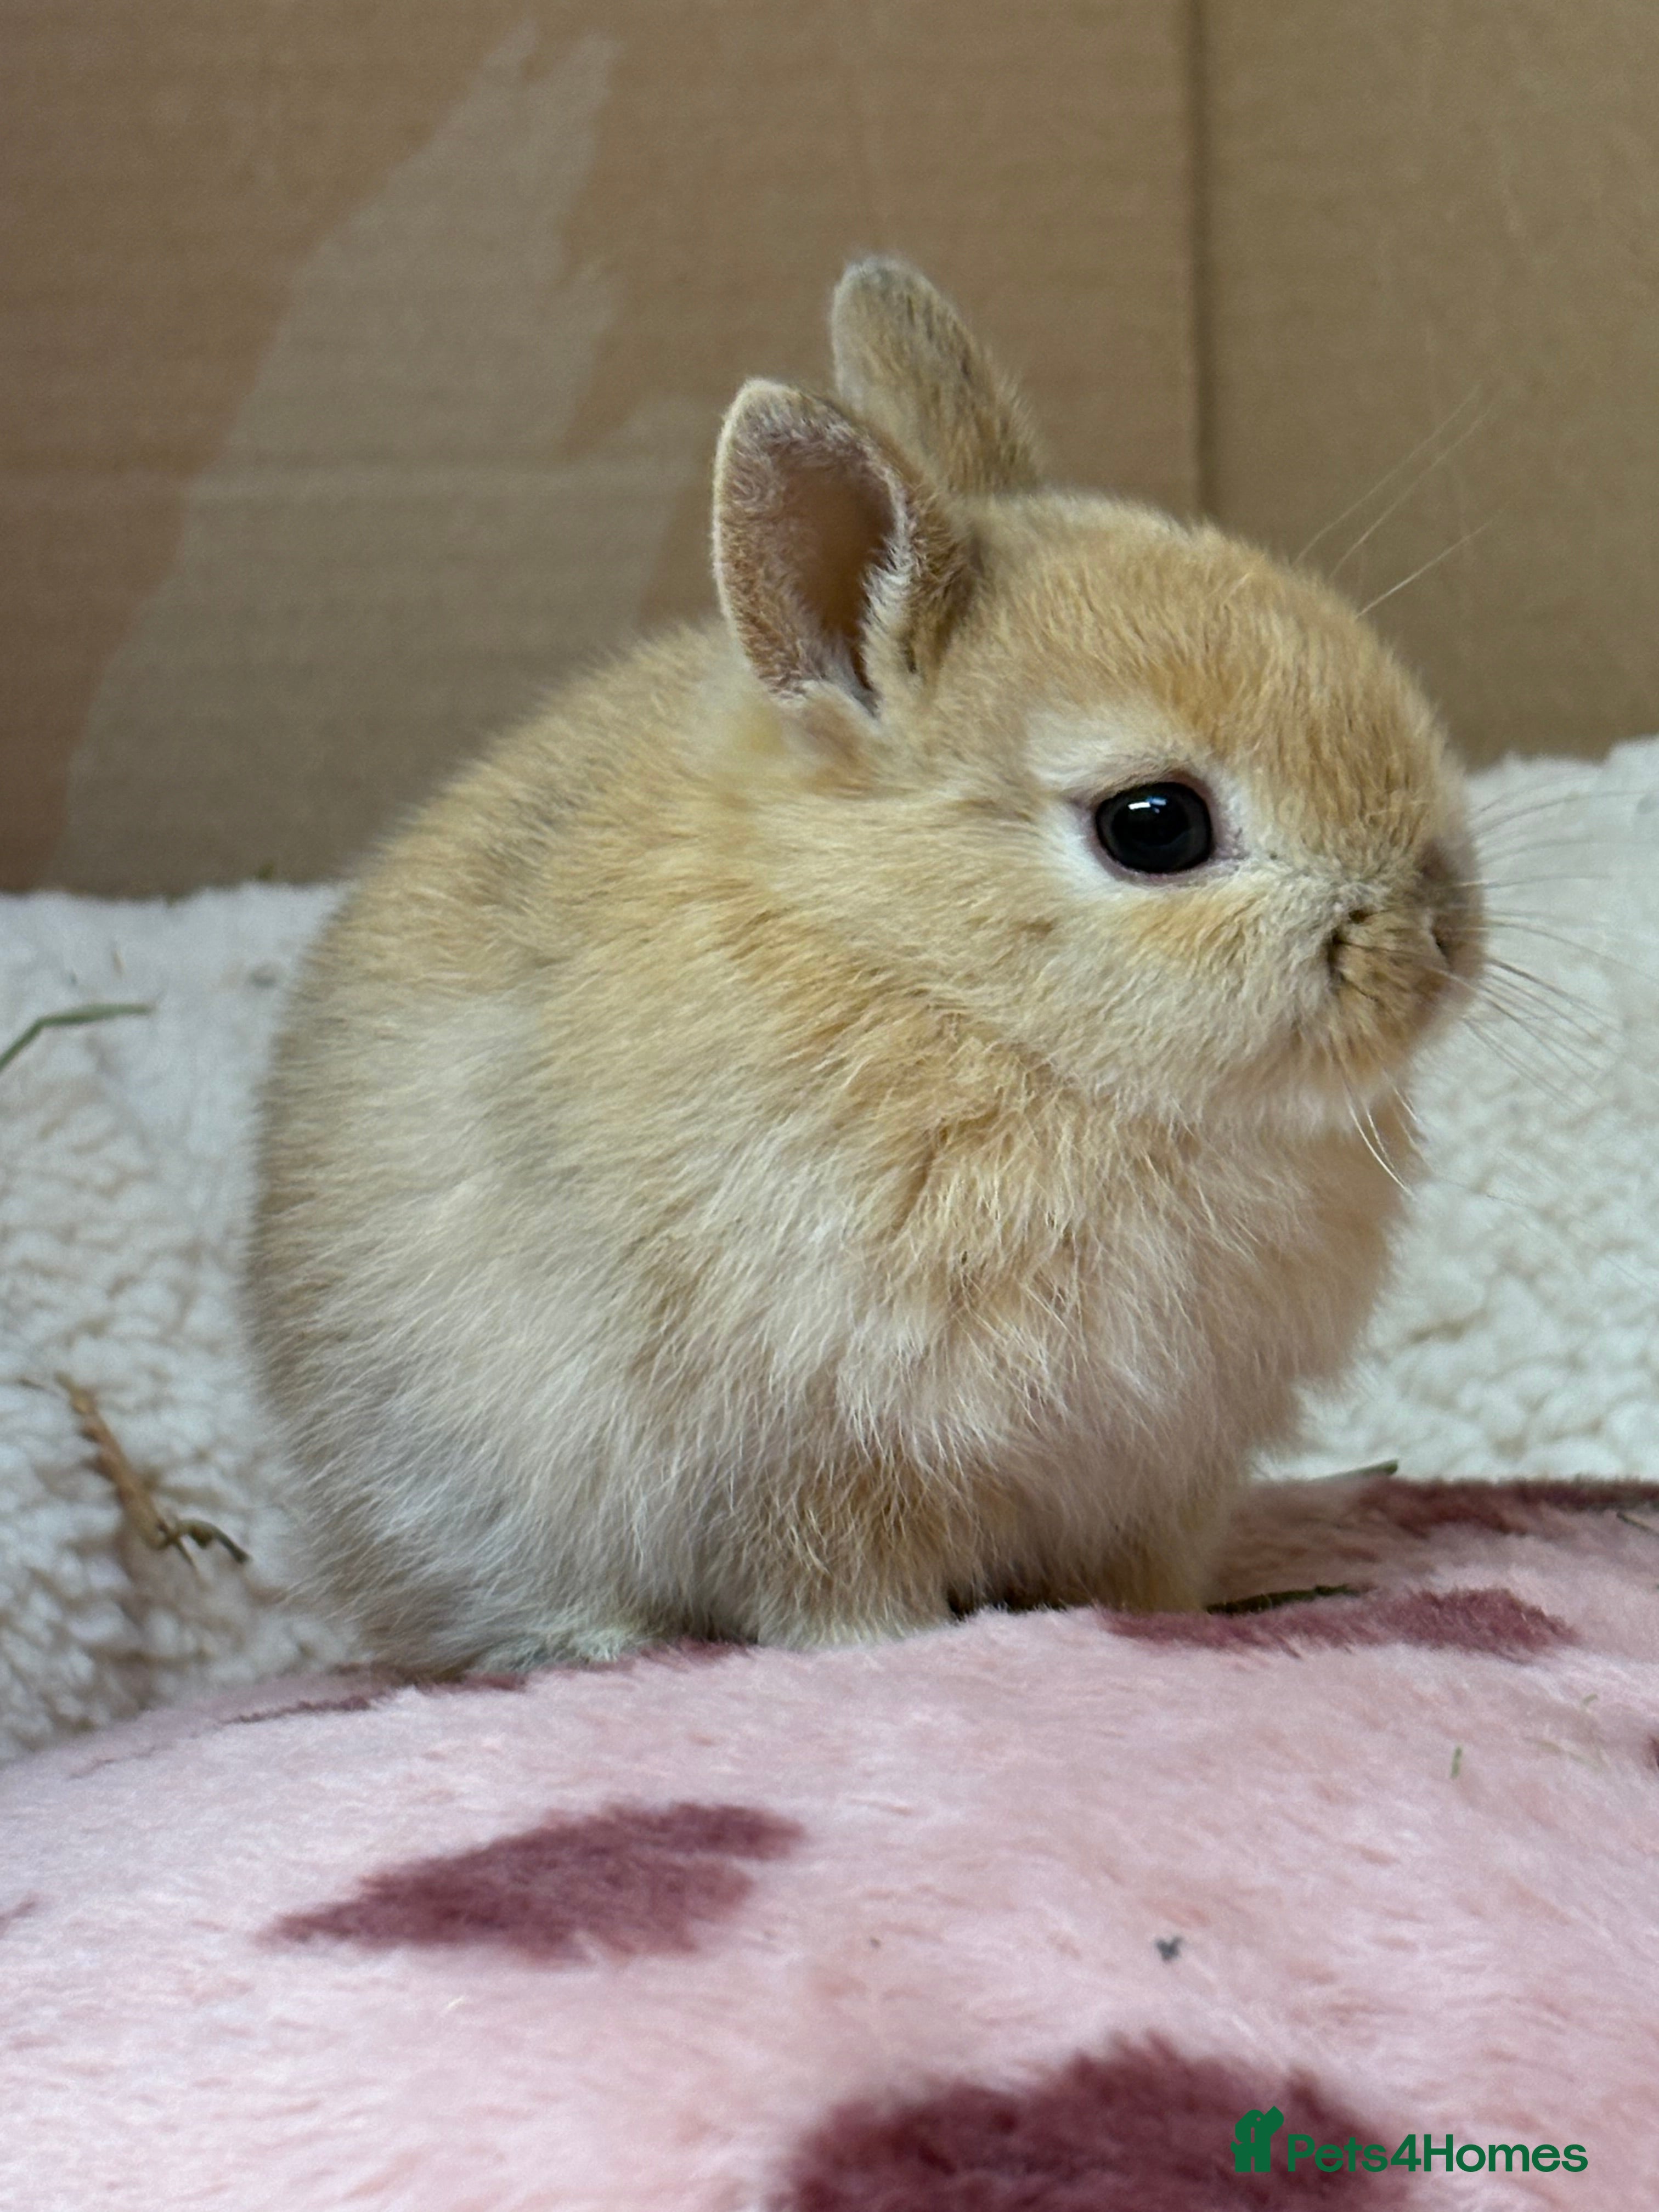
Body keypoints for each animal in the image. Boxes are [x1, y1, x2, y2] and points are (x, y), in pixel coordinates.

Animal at [246, 257, 1484, 1671]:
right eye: (1154, 825)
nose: (1444, 940)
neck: (941, 986)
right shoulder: (824, 1457)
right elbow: (836, 1583)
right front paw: (884, 1658)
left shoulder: (1157, 1470)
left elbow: (1140, 1572)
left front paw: (1168, 1623)